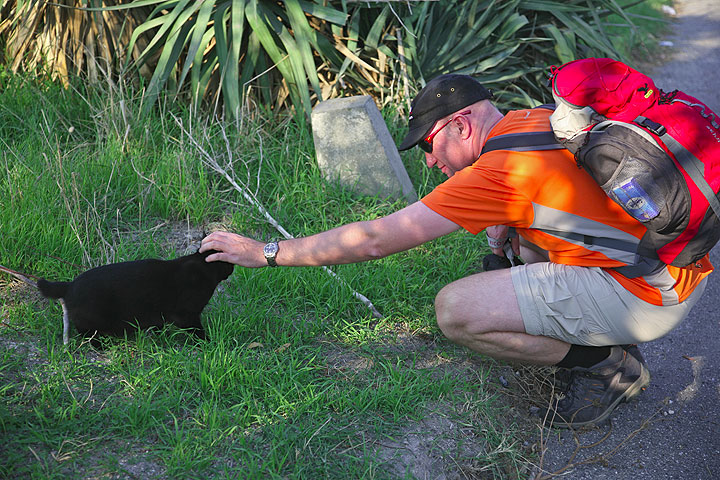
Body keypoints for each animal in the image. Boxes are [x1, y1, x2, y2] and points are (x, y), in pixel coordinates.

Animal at [37, 249, 233, 344]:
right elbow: (197, 330)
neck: (202, 267)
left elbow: (158, 325)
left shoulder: (160, 314)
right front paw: (208, 342)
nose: (232, 269)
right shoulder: (186, 315)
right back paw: (100, 344)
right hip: (93, 319)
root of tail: (69, 284)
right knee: (86, 332)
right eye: (228, 263)